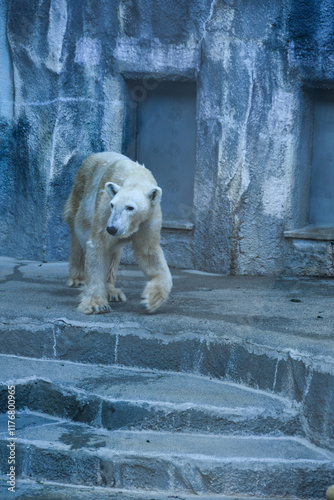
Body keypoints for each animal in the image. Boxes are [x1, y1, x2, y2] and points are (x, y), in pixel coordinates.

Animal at [63, 152, 172, 314]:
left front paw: (151, 300)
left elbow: (148, 252)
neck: (135, 175)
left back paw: (112, 292)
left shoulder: (149, 218)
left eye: (130, 207)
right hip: (79, 194)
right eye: (112, 205)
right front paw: (96, 304)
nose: (112, 228)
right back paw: (78, 279)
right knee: (77, 234)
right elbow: (98, 245)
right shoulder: (104, 209)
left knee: (114, 253)